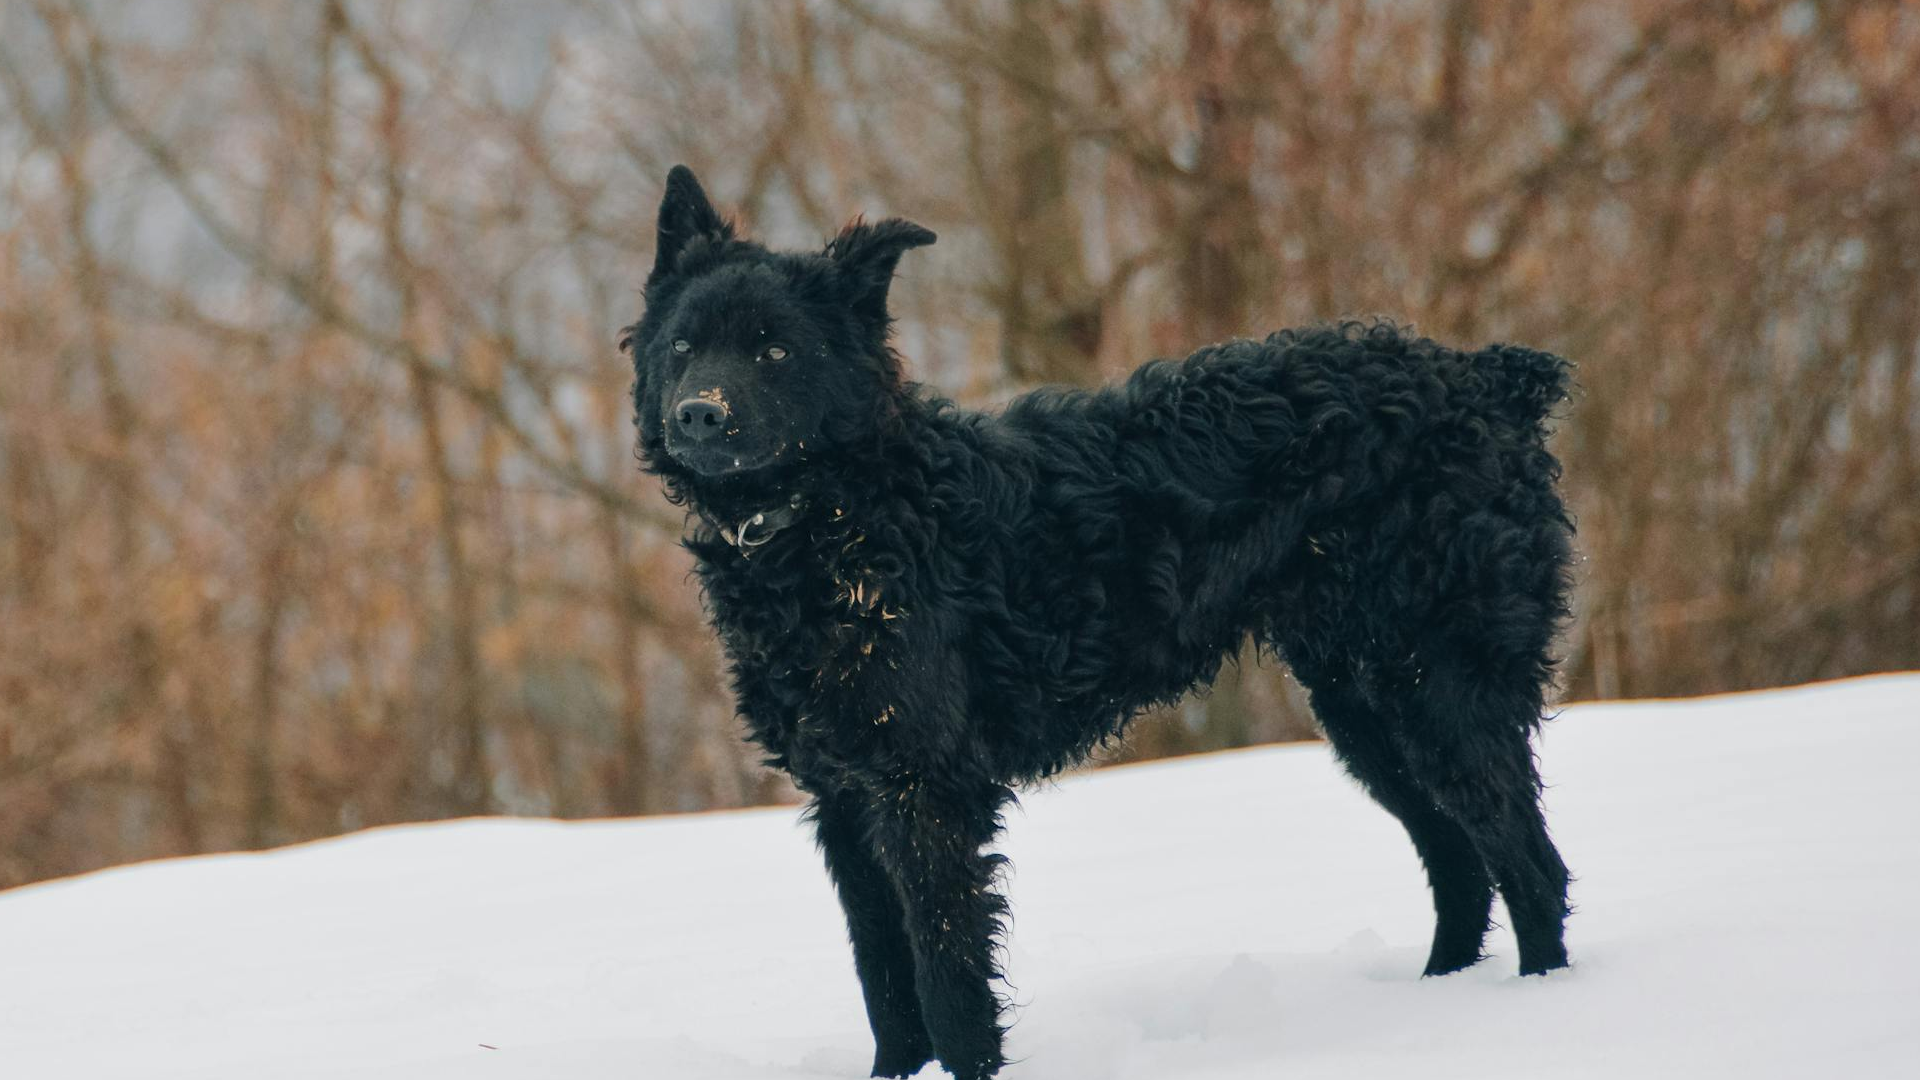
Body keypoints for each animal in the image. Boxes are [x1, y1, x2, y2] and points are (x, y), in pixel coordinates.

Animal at [629, 164, 1574, 1068]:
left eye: (774, 349)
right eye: (683, 345)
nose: (698, 413)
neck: (845, 518)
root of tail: (1484, 378)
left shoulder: (923, 791)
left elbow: (948, 988)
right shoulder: (844, 801)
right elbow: (887, 990)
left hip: (1443, 691)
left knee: (1531, 868)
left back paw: (1537, 1012)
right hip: (1366, 710)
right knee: (1463, 866)